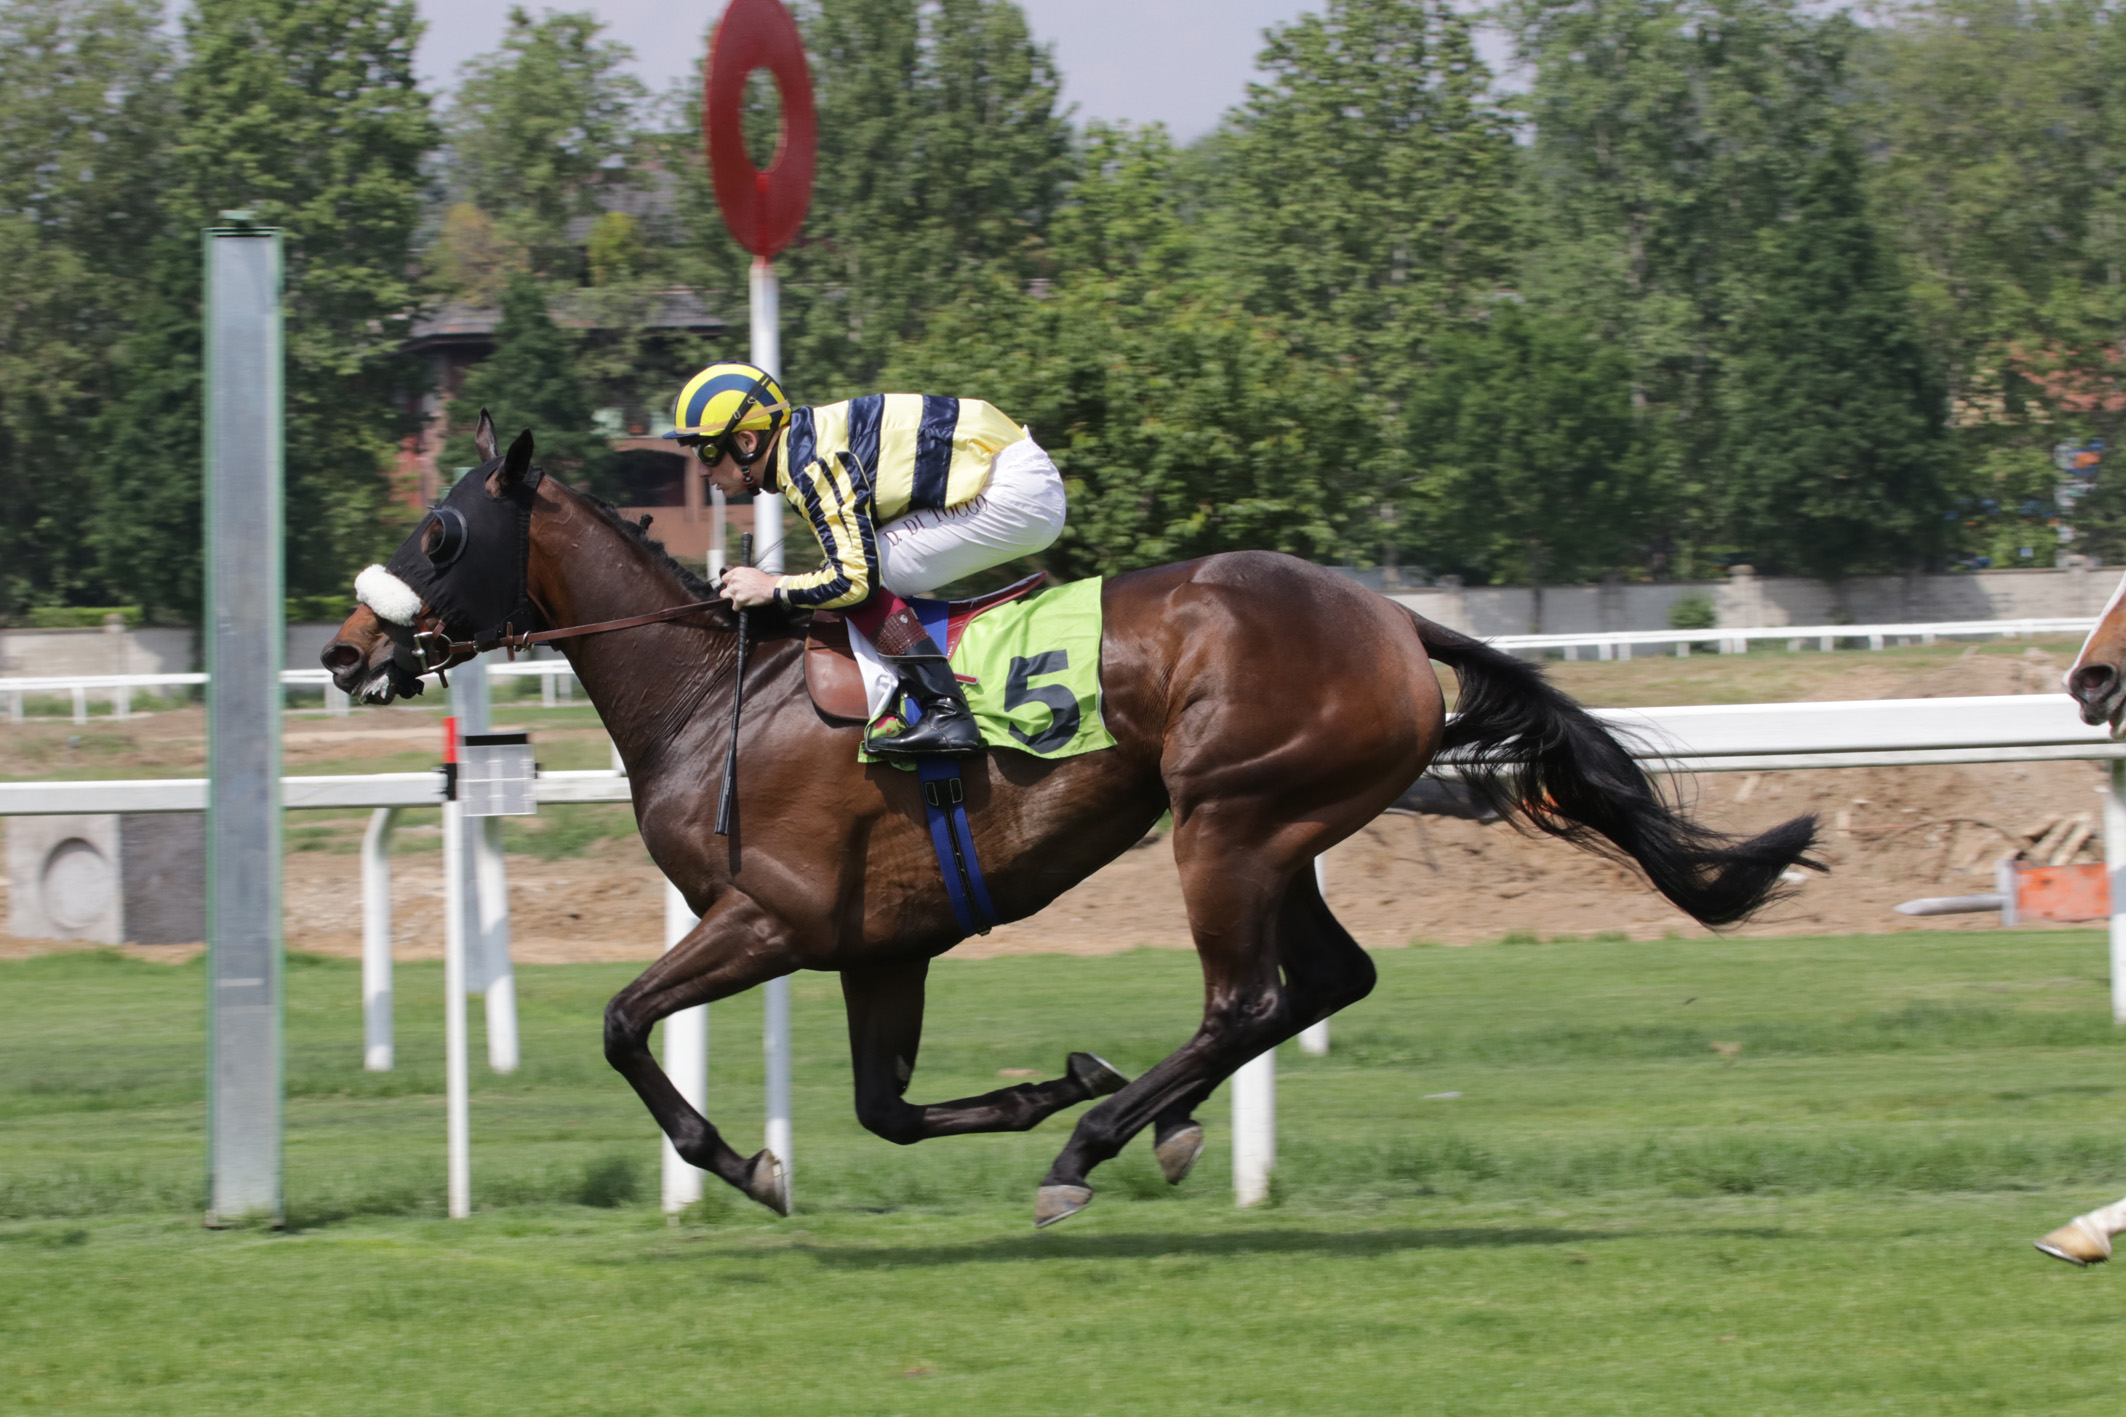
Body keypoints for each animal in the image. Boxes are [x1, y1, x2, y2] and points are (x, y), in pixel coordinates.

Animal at [323, 424, 1819, 1232]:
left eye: (439, 530)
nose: (343, 652)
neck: (712, 693)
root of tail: (1394, 619)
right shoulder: (880, 944)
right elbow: (883, 1109)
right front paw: (1049, 1082)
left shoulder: (772, 916)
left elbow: (625, 1023)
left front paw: (748, 1164)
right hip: (1277, 828)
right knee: (1320, 980)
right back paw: (1145, 1122)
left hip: (1225, 819)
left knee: (1244, 997)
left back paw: (1090, 1153)